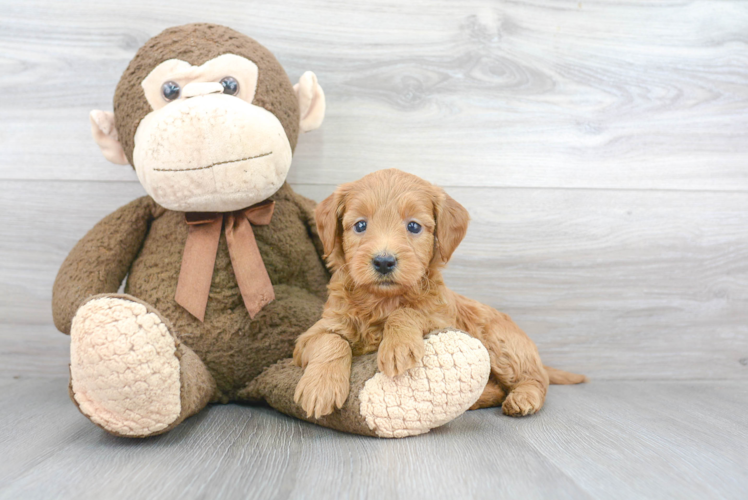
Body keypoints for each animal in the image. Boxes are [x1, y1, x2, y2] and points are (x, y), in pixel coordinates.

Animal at [292, 170, 584, 420]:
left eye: (413, 226)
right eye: (360, 225)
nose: (384, 261)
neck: (382, 300)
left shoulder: (442, 319)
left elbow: (408, 312)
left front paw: (397, 345)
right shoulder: (314, 333)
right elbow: (330, 341)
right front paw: (320, 387)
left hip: (501, 342)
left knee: (535, 379)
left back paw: (524, 398)